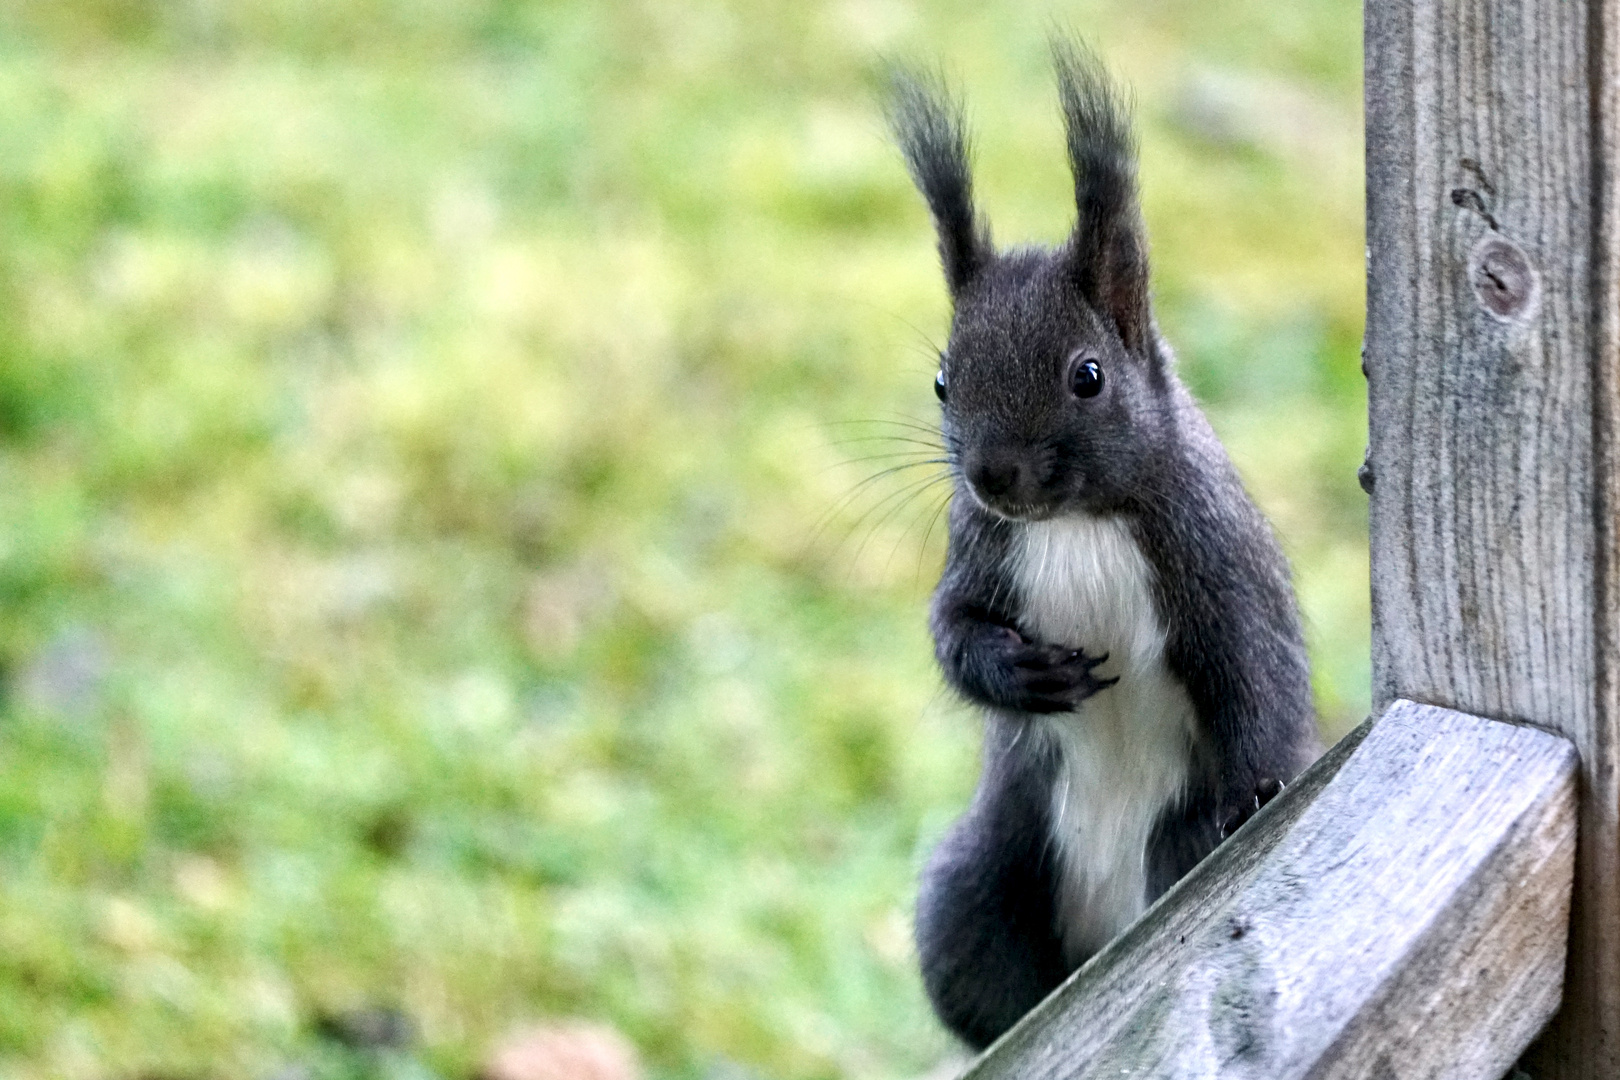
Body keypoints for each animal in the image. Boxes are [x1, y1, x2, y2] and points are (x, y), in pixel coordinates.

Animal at [887, 42, 1328, 1049]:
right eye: (942, 382)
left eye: (1088, 376)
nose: (993, 477)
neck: (1075, 525)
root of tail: (1105, 933)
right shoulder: (982, 552)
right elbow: (951, 629)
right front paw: (1021, 674)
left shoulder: (1213, 563)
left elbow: (1256, 680)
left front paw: (1252, 794)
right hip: (975, 886)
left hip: (1165, 844)